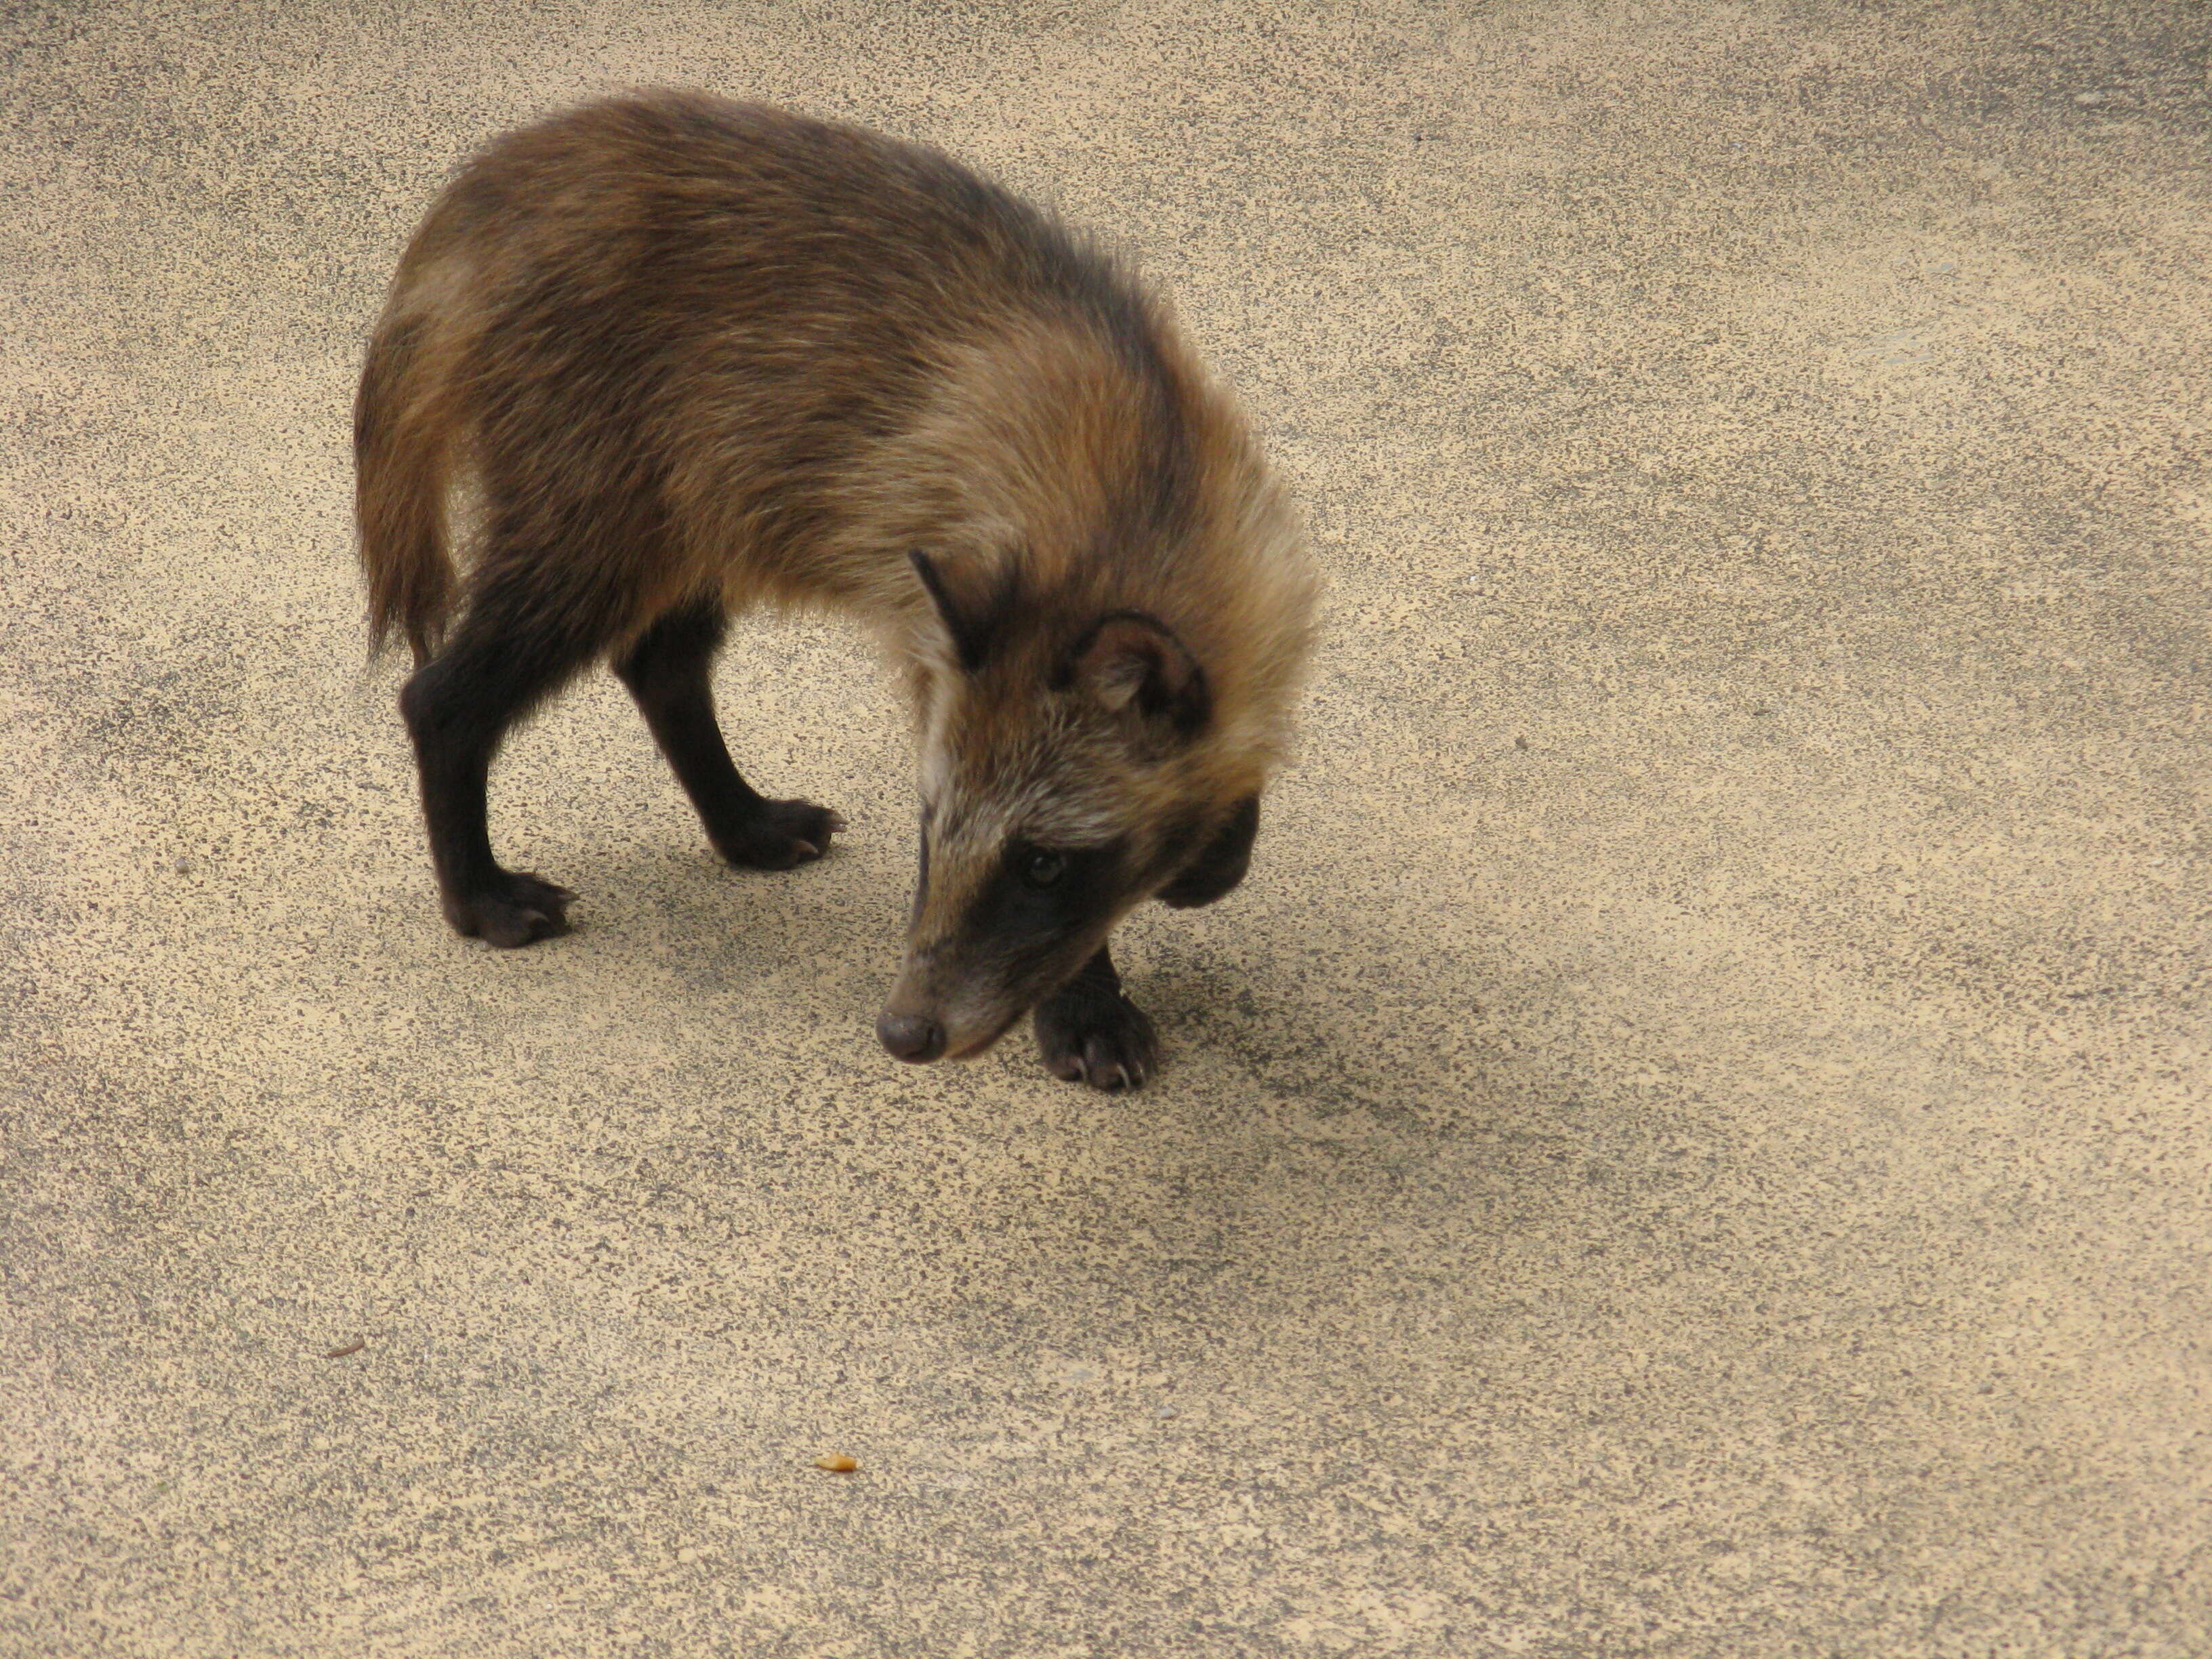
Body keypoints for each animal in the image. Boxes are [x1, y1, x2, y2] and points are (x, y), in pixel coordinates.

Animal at [358, 97, 1309, 1097]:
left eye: (1045, 863)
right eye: (931, 829)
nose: (905, 1032)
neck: (1136, 502)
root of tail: (496, 186)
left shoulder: (1246, 579)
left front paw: (1218, 843)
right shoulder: (937, 603)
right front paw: (1086, 995)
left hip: (696, 502)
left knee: (662, 660)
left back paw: (737, 816)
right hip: (587, 489)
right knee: (447, 694)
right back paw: (475, 884)